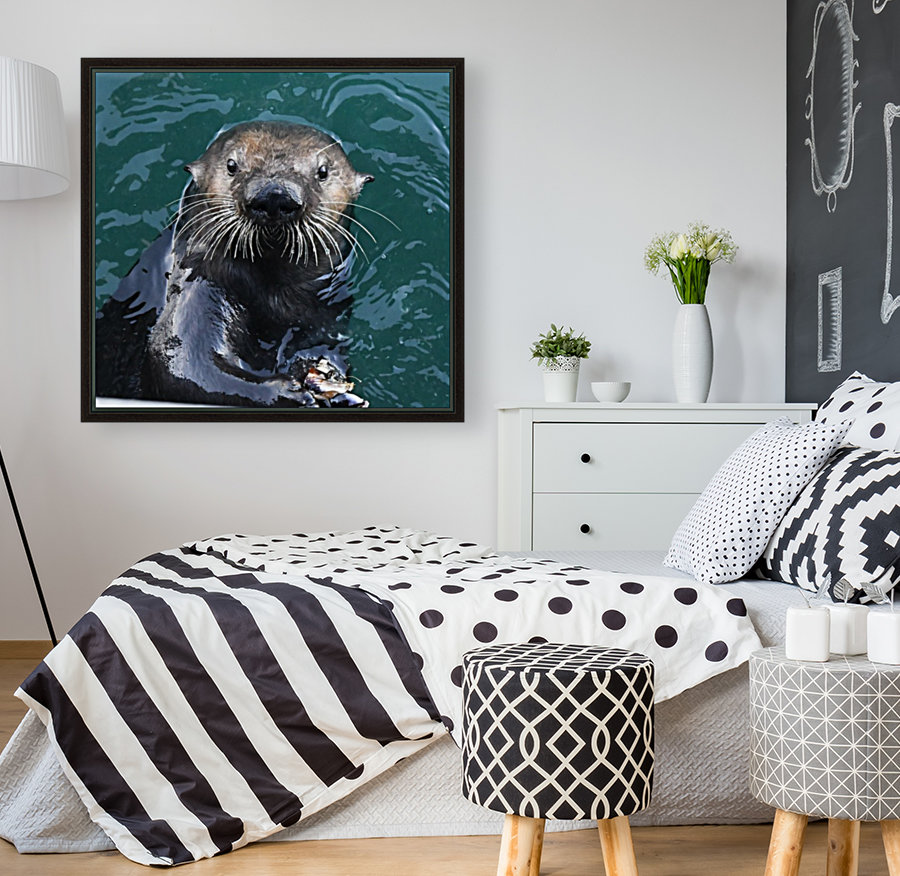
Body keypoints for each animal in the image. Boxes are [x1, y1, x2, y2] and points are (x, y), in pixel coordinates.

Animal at [94, 121, 375, 408]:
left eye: (323, 171)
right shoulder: (199, 284)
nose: (275, 194)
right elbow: (182, 367)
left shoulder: (327, 311)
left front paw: (329, 379)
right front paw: (291, 391)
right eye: (231, 165)